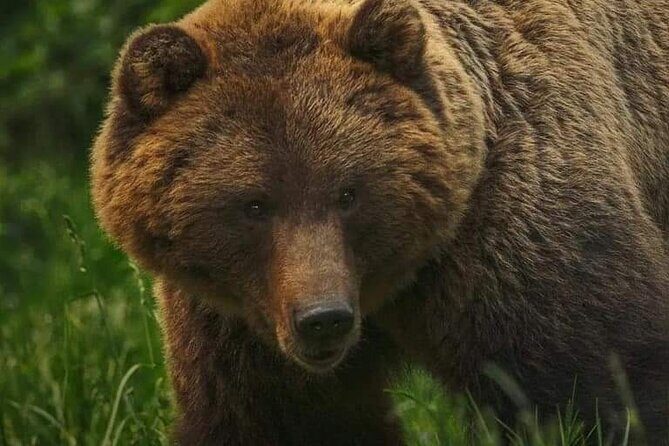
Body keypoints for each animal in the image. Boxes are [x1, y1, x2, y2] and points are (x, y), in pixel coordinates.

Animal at [91, 0, 669, 444]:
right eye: (254, 204)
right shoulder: (241, 320)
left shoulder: (520, 242)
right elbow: (279, 418)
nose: (324, 318)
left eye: (349, 192)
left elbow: (593, 383)